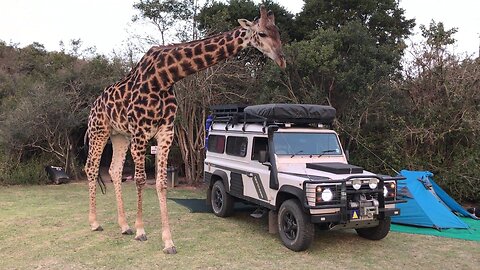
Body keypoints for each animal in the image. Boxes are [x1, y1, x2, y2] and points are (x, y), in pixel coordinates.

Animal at [85, 5, 284, 254]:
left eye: (279, 32)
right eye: (263, 33)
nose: (282, 60)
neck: (164, 77)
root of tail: (93, 106)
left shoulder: (165, 131)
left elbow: (161, 183)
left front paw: (167, 242)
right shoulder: (141, 132)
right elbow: (141, 180)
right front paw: (141, 231)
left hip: (120, 136)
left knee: (113, 170)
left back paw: (124, 226)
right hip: (99, 131)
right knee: (91, 168)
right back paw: (95, 223)